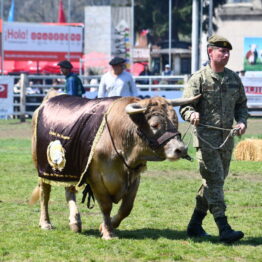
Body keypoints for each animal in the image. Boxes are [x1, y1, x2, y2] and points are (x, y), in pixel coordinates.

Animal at [29, 92, 200, 239]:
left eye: (176, 122)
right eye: (155, 125)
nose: (181, 149)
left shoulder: (134, 176)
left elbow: (126, 207)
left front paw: (108, 225)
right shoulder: (96, 178)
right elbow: (106, 206)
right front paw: (108, 232)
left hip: (72, 167)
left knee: (69, 191)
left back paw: (75, 222)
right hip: (43, 167)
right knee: (45, 193)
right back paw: (45, 223)